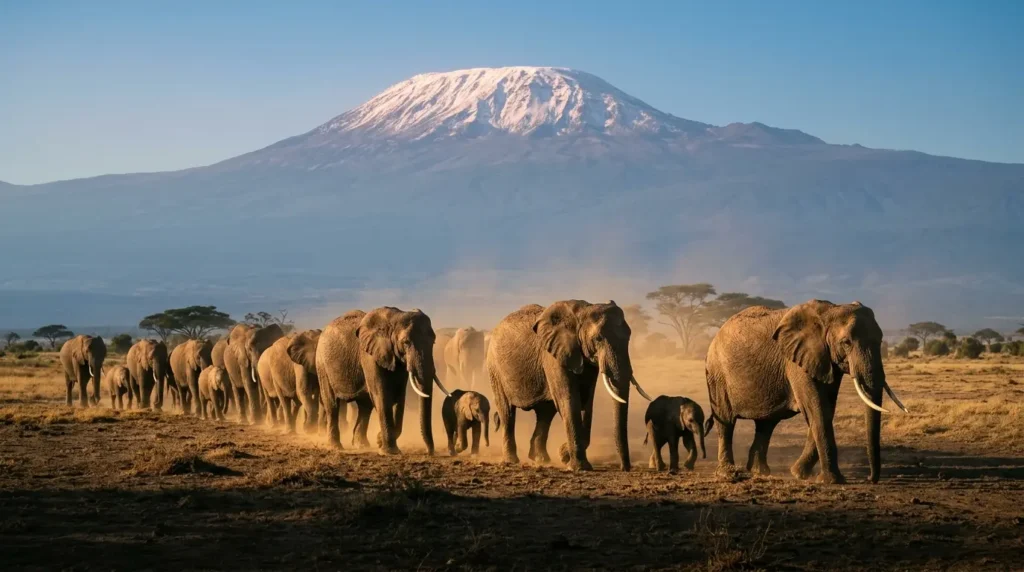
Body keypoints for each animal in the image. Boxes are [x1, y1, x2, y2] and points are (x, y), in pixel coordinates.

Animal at [356, 307, 451, 455]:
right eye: (406, 342)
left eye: (433, 342)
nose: (428, 452)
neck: (395, 316)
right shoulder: (370, 356)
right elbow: (381, 395)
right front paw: (389, 452)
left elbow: (400, 397)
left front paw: (379, 440)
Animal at [486, 301, 651, 472]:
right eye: (598, 339)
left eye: (629, 337)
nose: (624, 468)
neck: (583, 311)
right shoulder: (553, 355)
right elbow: (570, 399)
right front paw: (579, 467)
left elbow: (586, 402)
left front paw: (564, 454)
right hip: (495, 369)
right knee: (507, 412)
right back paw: (511, 461)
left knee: (545, 413)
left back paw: (541, 460)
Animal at [705, 300, 908, 484]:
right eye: (846, 343)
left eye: (880, 340)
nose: (870, 479)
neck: (830, 311)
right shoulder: (796, 361)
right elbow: (817, 409)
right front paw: (832, 481)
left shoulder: (825, 360)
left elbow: (826, 408)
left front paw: (798, 473)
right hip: (717, 374)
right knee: (726, 422)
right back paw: (728, 473)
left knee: (766, 424)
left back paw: (759, 472)